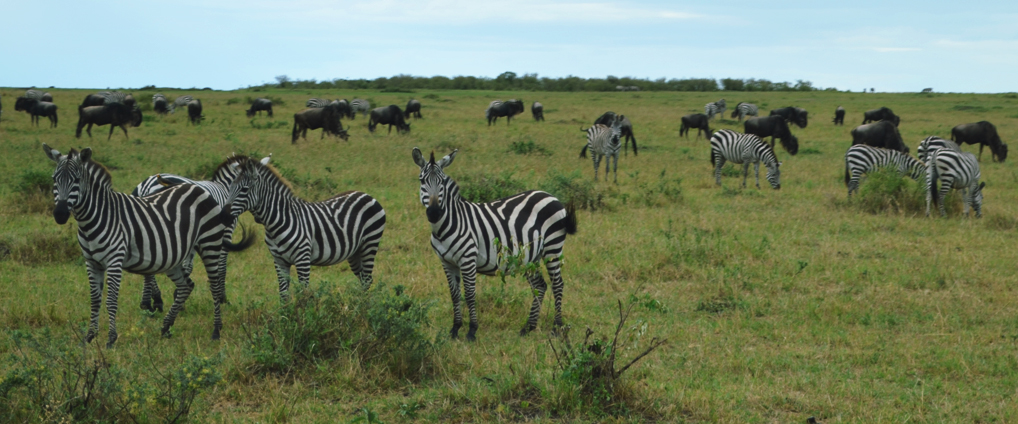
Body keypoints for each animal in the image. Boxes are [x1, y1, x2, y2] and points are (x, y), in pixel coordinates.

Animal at [42, 144, 232, 347]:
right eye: (54, 179)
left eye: (77, 180)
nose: (60, 214)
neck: (95, 218)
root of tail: (198, 187)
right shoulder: (91, 262)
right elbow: (94, 300)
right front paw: (89, 337)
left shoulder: (114, 260)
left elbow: (111, 301)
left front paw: (111, 339)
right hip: (174, 257)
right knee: (186, 285)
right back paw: (166, 327)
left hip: (210, 243)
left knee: (213, 286)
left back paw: (216, 330)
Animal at [129, 156, 266, 312]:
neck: (224, 187)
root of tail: (146, 185)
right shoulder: (225, 232)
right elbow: (221, 266)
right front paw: (222, 297)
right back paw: (151, 300)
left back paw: (152, 300)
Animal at [220, 156, 386, 297]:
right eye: (230, 187)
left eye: (244, 189)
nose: (223, 215)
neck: (278, 221)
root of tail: (366, 195)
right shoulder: (279, 261)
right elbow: (283, 294)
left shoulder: (303, 259)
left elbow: (303, 293)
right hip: (354, 251)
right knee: (363, 279)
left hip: (370, 243)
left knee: (367, 279)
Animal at [411, 148, 578, 341]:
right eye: (422, 181)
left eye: (442, 183)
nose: (434, 213)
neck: (447, 225)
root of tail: (551, 196)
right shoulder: (446, 262)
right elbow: (454, 295)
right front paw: (455, 329)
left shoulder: (468, 258)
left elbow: (469, 294)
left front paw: (472, 331)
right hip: (531, 256)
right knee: (540, 286)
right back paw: (528, 327)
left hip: (552, 247)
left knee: (557, 284)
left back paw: (556, 328)